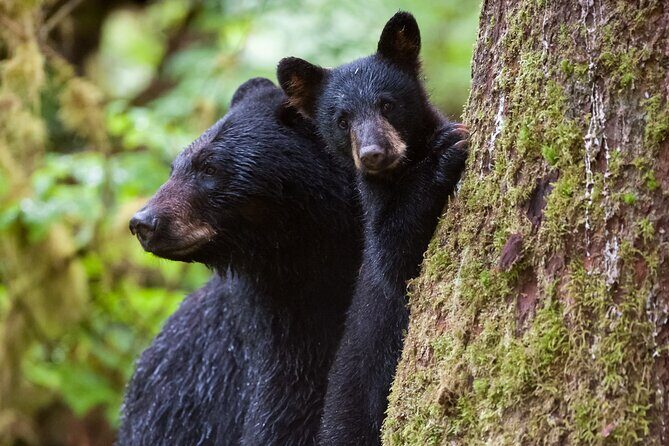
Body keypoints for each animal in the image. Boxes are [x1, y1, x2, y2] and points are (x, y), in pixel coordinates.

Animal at [277, 12, 468, 445]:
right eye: (341, 119)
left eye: (387, 104)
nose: (373, 154)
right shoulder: (377, 217)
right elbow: (396, 258)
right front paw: (445, 152)